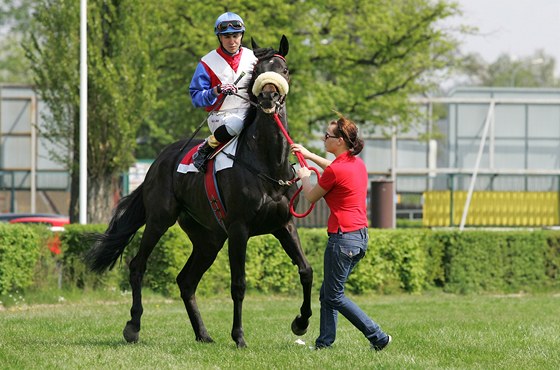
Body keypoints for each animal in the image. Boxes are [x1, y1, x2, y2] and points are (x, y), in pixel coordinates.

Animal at [85, 36, 312, 348]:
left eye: (284, 70)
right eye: (258, 71)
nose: (268, 98)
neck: (265, 163)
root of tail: (160, 160)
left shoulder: (284, 224)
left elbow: (306, 271)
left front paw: (301, 322)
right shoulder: (239, 229)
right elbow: (239, 284)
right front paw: (239, 336)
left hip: (209, 238)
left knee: (186, 281)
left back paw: (203, 333)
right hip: (160, 220)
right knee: (137, 265)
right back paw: (133, 326)